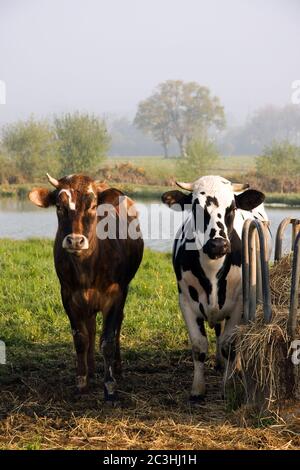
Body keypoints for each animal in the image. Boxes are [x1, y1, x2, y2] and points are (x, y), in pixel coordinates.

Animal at [29, 174, 144, 402]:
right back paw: (90, 370)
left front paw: (109, 386)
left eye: (92, 206)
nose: (75, 240)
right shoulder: (67, 295)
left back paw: (117, 367)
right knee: (90, 328)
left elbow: (107, 341)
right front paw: (82, 381)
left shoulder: (115, 295)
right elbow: (81, 338)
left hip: (123, 291)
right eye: (59, 206)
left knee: (118, 324)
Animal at [163, 174, 268, 402]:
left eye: (232, 208)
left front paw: (227, 387)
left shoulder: (238, 305)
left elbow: (230, 345)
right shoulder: (186, 302)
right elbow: (199, 345)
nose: (218, 244)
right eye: (196, 207)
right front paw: (197, 389)